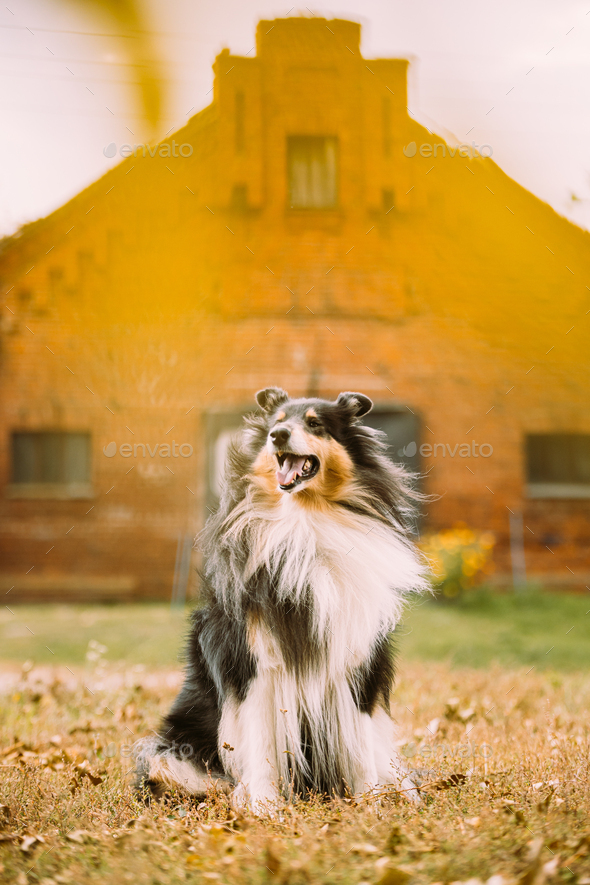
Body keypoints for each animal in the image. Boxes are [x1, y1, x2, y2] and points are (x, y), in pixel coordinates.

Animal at [136, 386, 428, 808]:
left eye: (315, 423)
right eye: (276, 423)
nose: (278, 436)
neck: (306, 520)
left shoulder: (355, 663)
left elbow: (360, 744)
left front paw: (369, 802)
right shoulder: (254, 666)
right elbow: (259, 745)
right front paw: (262, 806)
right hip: (165, 752)